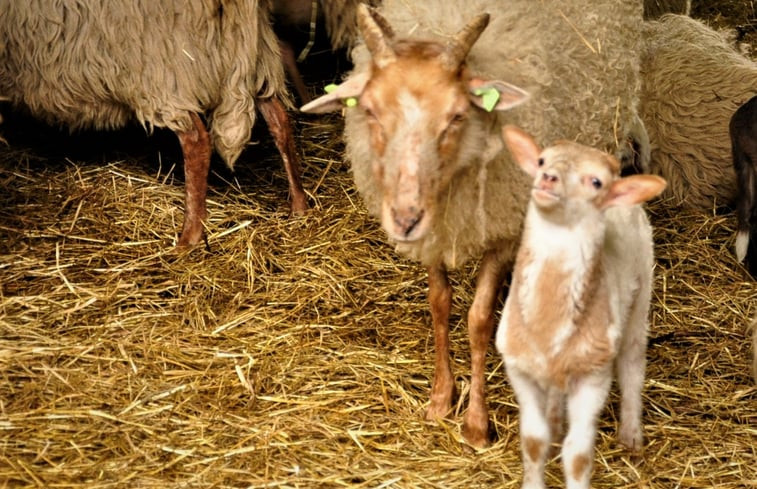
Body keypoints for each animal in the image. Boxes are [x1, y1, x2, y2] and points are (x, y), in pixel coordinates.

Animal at [0, 0, 308, 244]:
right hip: (257, 49)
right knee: (278, 117)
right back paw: (299, 206)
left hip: (164, 63)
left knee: (197, 140)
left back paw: (188, 238)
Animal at [300, 0, 644, 446]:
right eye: (371, 111)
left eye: (457, 116)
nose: (405, 219)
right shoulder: (434, 232)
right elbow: (439, 305)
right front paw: (440, 399)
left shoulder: (502, 231)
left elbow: (479, 321)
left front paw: (477, 422)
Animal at [494, 125, 664, 488]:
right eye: (541, 160)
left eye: (596, 182)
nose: (548, 177)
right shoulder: (519, 367)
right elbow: (533, 441)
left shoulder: (593, 376)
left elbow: (578, 455)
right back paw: (557, 421)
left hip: (640, 296)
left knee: (632, 365)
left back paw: (631, 433)